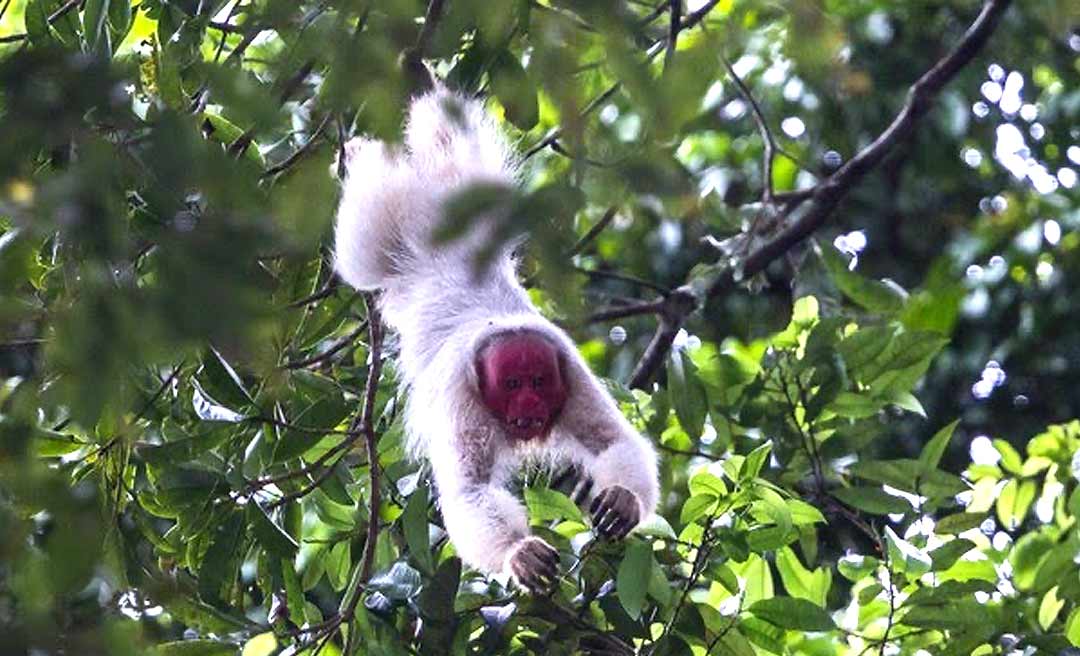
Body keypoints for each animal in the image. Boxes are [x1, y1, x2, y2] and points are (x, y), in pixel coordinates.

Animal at [334, 88, 656, 596]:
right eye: (512, 385)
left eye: (539, 381)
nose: (529, 405)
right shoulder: (463, 399)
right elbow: (472, 490)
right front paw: (516, 552)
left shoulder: (572, 372)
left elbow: (613, 442)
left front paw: (623, 499)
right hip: (380, 226)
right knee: (366, 240)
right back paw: (363, 154)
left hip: (473, 199)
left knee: (449, 143)